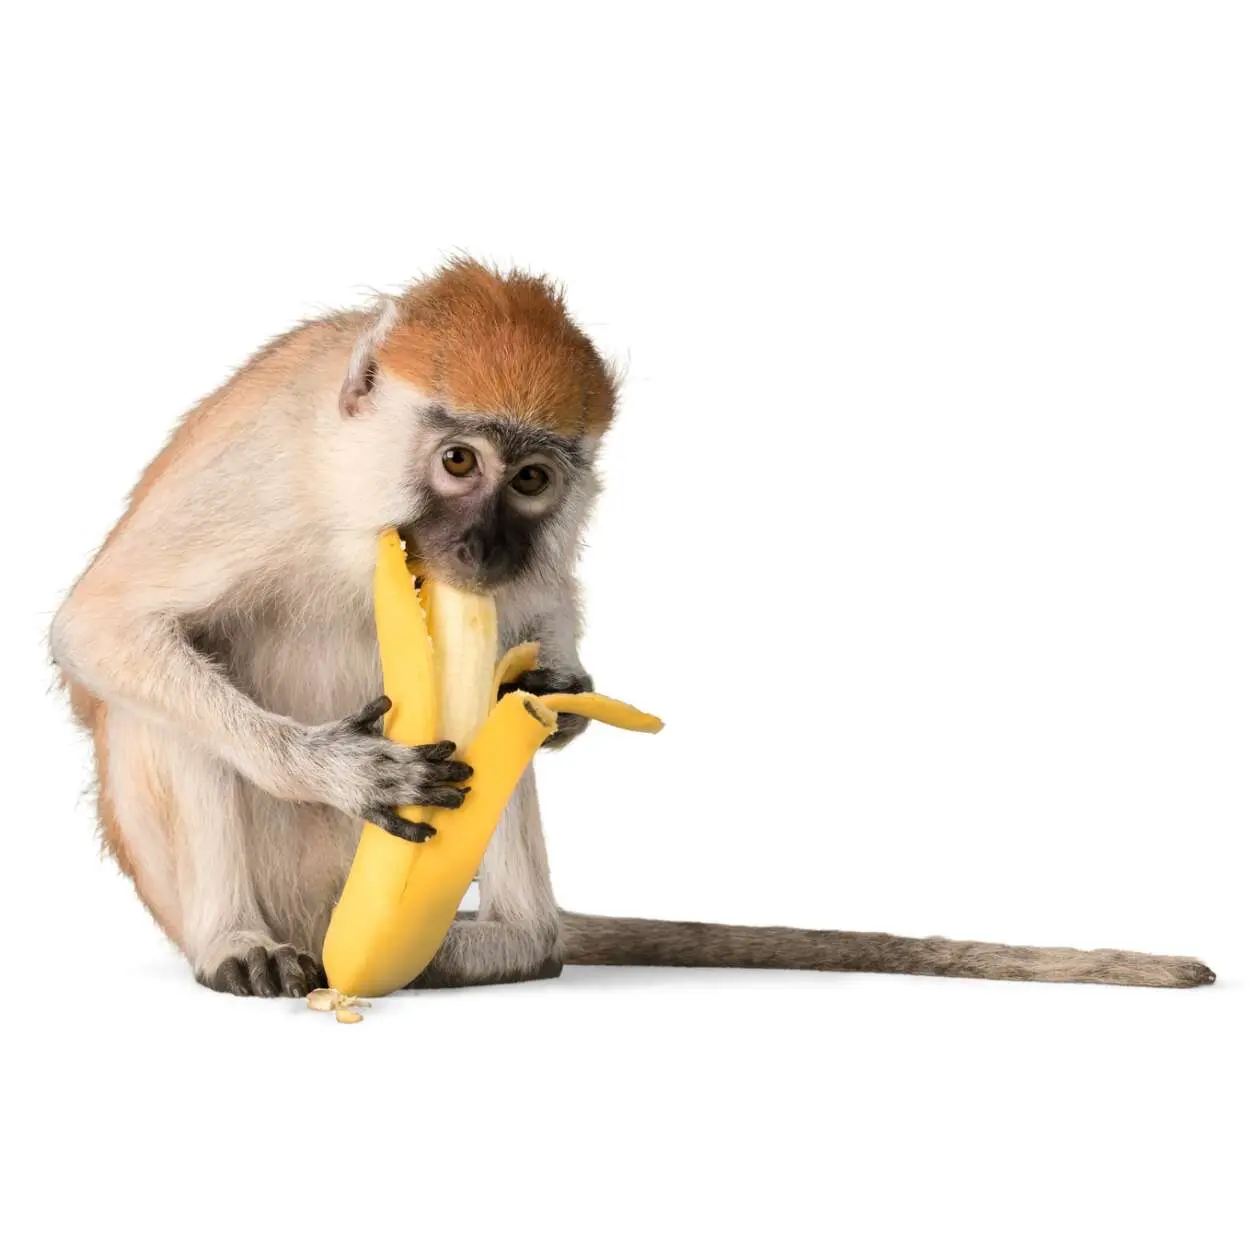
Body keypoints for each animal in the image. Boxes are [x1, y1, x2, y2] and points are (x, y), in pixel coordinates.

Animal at [50, 259, 1215, 997]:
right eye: (458, 461)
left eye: (530, 480)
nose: (482, 545)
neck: (356, 496)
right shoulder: (264, 470)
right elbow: (104, 629)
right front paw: (344, 769)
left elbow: (539, 627)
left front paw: (563, 691)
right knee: (164, 701)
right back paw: (239, 941)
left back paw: (514, 946)